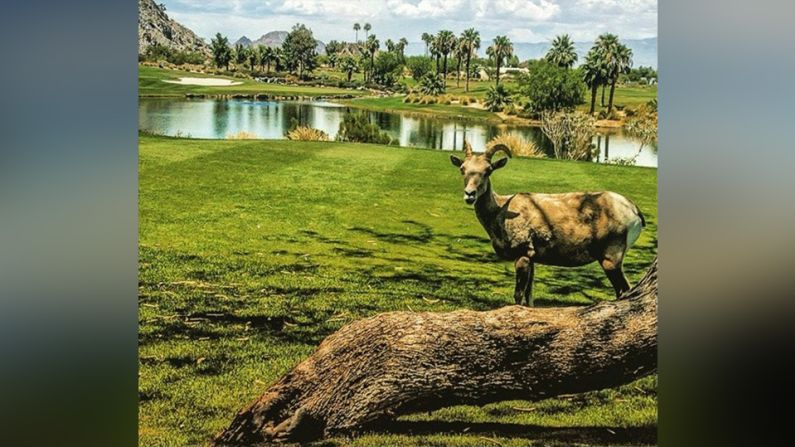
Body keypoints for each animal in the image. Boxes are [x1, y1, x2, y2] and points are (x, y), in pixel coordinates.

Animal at [448, 142, 648, 306]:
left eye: (488, 170)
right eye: (462, 169)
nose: (470, 194)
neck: (501, 213)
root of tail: (634, 211)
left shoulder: (522, 253)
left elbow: (518, 295)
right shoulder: (532, 258)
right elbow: (529, 296)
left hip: (611, 257)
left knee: (624, 290)